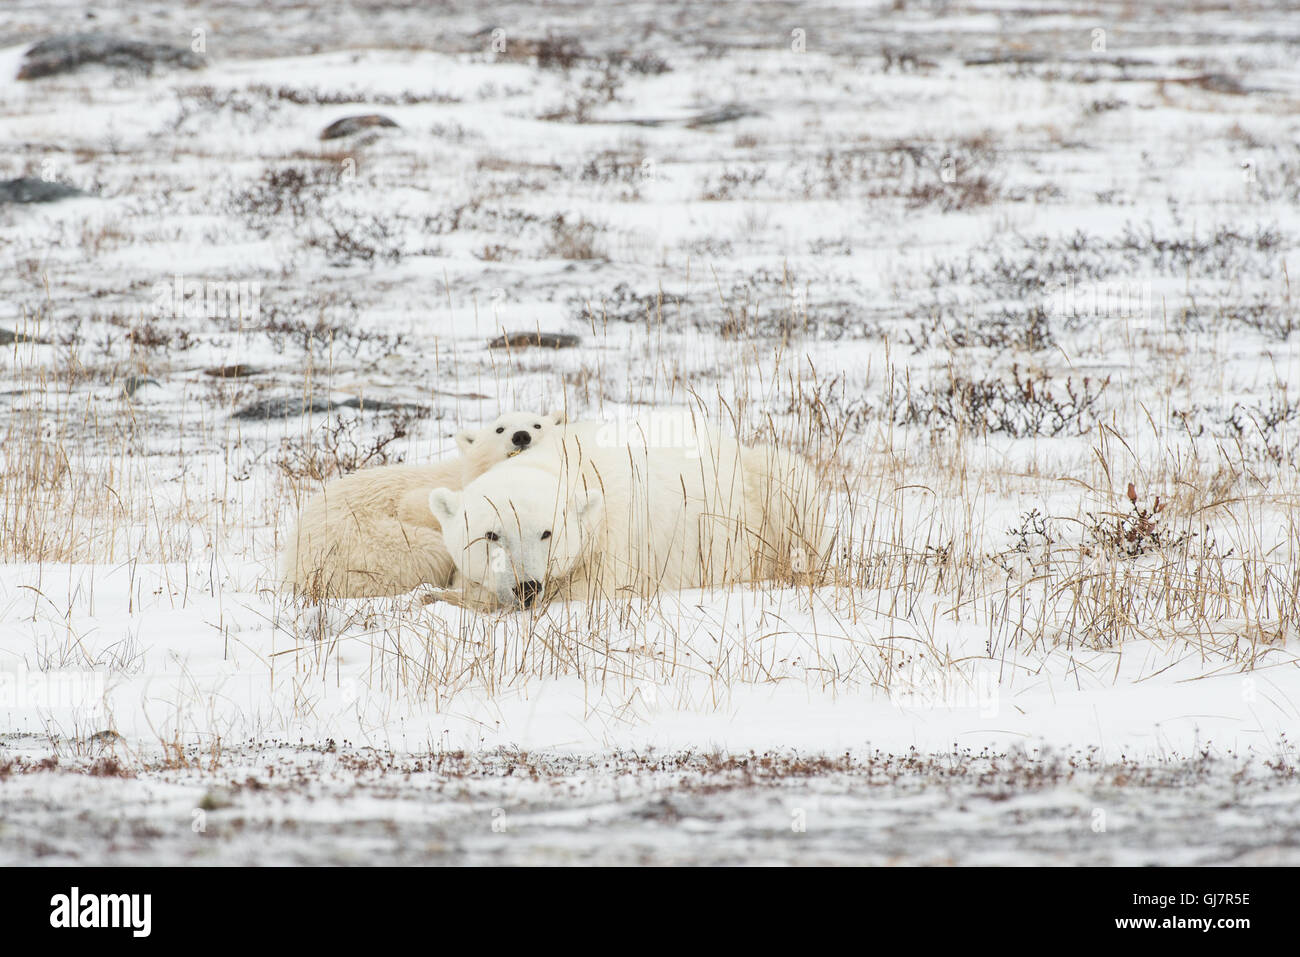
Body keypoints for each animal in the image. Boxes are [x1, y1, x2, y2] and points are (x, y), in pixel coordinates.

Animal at [282, 408, 566, 598]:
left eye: (538, 425)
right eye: (499, 429)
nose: (521, 436)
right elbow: (419, 506)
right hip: (370, 547)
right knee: (431, 549)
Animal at [431, 413, 826, 608]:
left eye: (546, 532)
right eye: (491, 534)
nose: (526, 587)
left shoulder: (615, 539)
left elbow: (587, 590)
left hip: (759, 488)